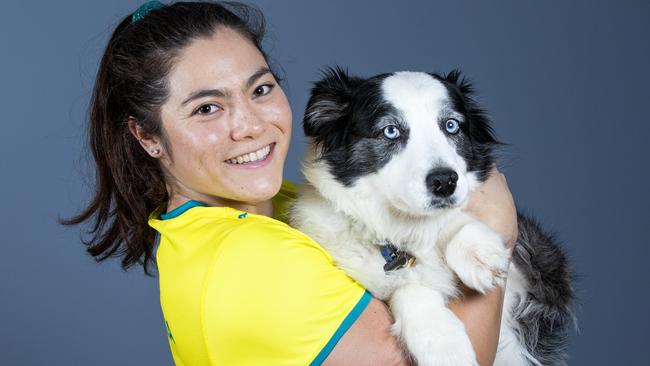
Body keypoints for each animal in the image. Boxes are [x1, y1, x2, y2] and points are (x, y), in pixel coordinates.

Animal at [288, 68, 572, 366]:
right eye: (391, 131)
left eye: (451, 126)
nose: (445, 181)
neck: (401, 234)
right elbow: (409, 289)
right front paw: (443, 343)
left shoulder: (543, 269)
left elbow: (453, 219)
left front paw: (475, 251)